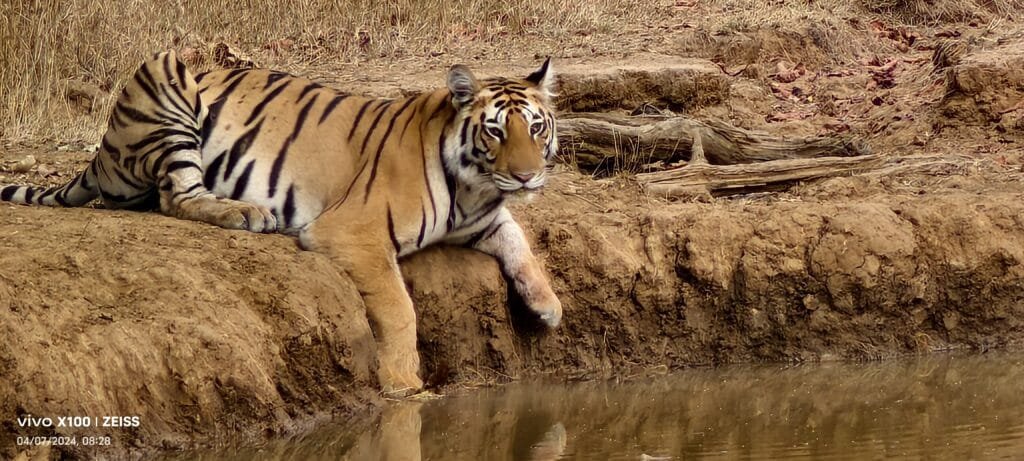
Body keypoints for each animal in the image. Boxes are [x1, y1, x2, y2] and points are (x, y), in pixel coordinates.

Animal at [0, 51, 563, 396]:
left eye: (536, 128)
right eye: (495, 131)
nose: (528, 175)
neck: (475, 186)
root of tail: (102, 150)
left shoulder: (483, 218)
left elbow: (519, 242)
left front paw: (548, 306)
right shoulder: (353, 233)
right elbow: (399, 309)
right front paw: (404, 383)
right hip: (165, 74)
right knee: (177, 196)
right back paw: (246, 212)